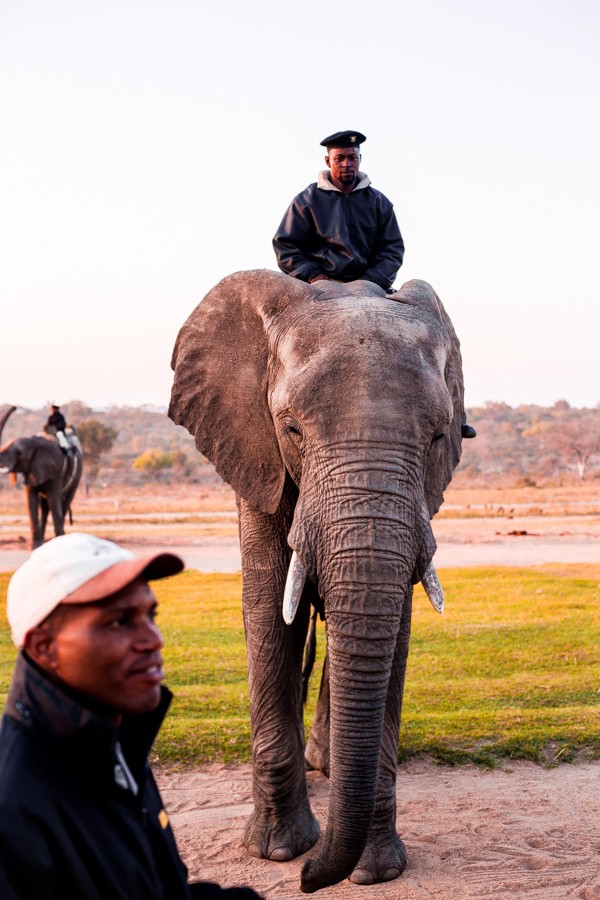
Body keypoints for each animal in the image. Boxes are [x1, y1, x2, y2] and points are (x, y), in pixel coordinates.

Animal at [0, 406, 83, 548]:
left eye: (19, 453)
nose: (15, 407)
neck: (32, 441)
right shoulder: (31, 470)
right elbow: (31, 502)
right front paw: (34, 546)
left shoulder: (55, 469)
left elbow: (54, 501)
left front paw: (59, 541)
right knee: (44, 506)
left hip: (77, 476)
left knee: (64, 502)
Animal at [169, 272, 464, 892]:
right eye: (291, 429)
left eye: (438, 437)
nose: (308, 878)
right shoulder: (256, 455)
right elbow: (267, 610)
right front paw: (277, 852)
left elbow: (395, 628)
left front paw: (375, 872)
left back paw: (327, 764)